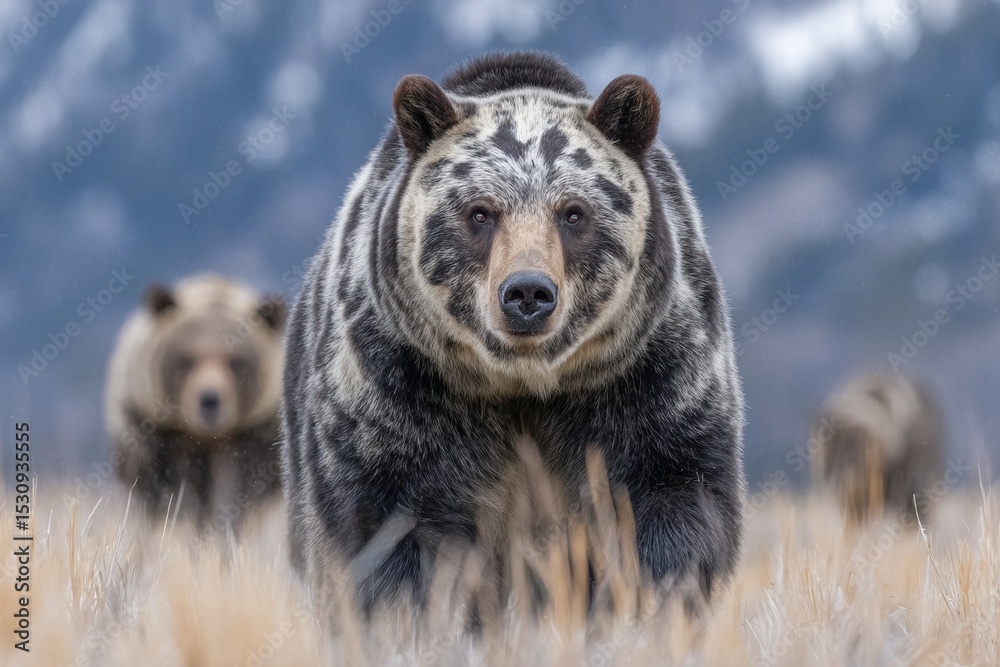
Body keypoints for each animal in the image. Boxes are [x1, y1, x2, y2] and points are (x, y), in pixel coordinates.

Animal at [105, 274, 286, 530]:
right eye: (186, 359)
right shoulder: (152, 430)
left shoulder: (254, 435)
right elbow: (163, 488)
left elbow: (240, 487)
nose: (209, 399)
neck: (205, 438)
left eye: (236, 361)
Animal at [282, 52, 745, 612]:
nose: (527, 292)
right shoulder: (398, 387)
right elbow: (392, 530)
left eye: (574, 212)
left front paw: (646, 600)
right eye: (480, 211)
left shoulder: (648, 374)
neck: (521, 383)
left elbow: (668, 500)